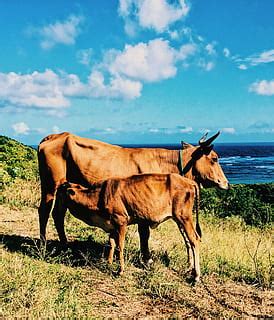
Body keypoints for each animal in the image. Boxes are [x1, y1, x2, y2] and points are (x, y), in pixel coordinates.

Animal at [37, 131, 228, 262]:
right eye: (215, 158)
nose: (226, 183)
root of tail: (54, 136)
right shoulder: (143, 207)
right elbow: (144, 233)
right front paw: (147, 258)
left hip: (62, 189)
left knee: (58, 214)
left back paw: (65, 245)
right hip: (50, 185)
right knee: (44, 211)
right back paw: (44, 245)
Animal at [53, 174, 200, 282]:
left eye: (60, 192)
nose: (55, 207)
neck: (99, 197)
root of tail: (190, 182)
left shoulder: (121, 222)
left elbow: (120, 246)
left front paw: (120, 270)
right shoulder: (112, 226)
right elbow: (111, 244)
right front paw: (109, 263)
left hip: (184, 217)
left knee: (194, 240)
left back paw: (196, 276)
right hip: (179, 220)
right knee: (188, 241)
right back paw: (190, 268)